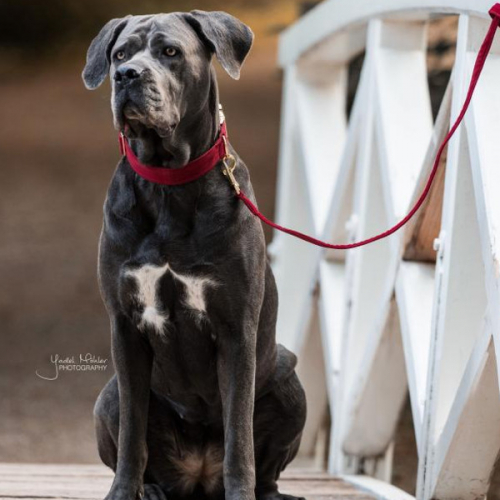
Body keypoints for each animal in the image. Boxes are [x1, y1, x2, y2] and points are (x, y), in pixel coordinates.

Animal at [82, 9, 306, 500]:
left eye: (170, 51)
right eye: (120, 55)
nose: (127, 76)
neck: (170, 183)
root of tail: (198, 474)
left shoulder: (237, 331)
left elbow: (239, 436)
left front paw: (241, 491)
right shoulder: (124, 327)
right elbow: (133, 434)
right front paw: (123, 491)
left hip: (288, 378)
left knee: (266, 468)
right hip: (108, 394)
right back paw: (150, 488)